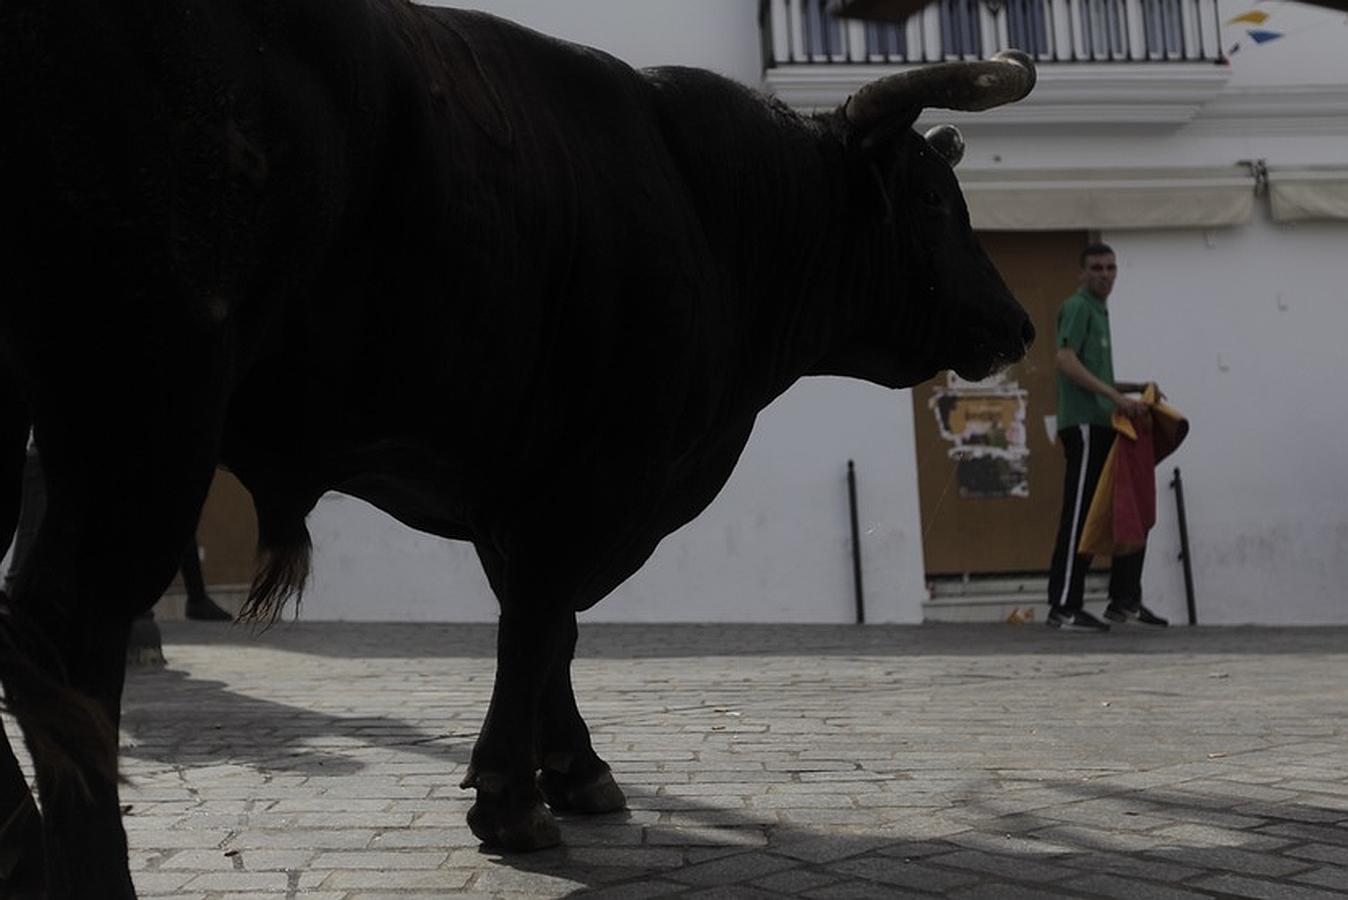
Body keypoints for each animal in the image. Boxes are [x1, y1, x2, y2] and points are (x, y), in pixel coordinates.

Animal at [0, 0, 1029, 894]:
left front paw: (571, 769)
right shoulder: (596, 479)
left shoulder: (524, 492)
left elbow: (546, 631)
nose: (1016, 323)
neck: (715, 211)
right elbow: (540, 621)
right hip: (151, 394)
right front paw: (511, 798)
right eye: (933, 204)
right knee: (68, 620)